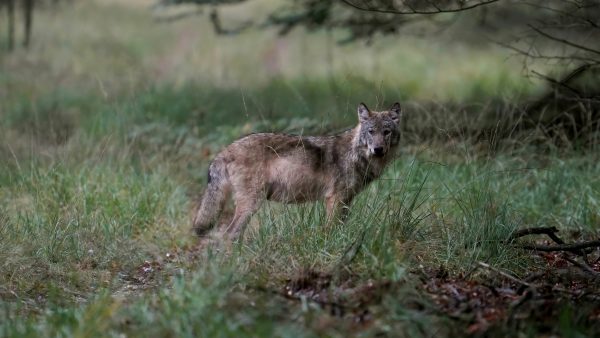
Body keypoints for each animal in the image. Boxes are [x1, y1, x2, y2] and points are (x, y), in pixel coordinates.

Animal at [192, 102, 404, 240]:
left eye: (386, 132)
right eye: (371, 131)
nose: (378, 149)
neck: (356, 154)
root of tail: (225, 150)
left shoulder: (346, 200)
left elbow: (341, 227)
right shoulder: (334, 199)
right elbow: (331, 229)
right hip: (251, 204)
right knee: (229, 235)